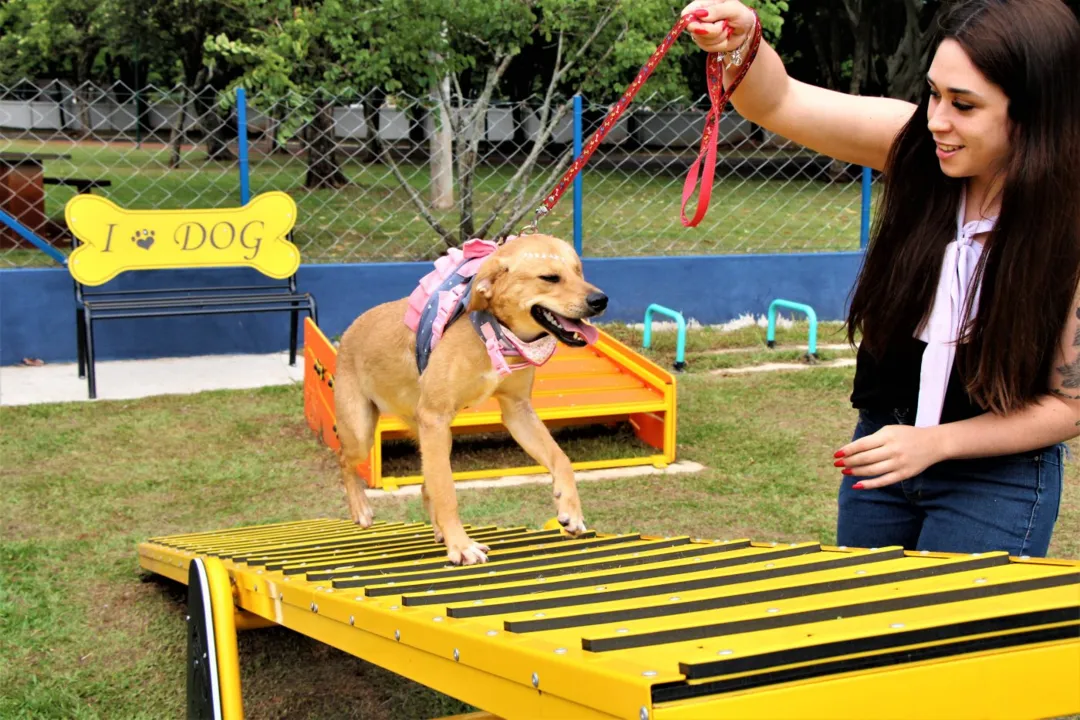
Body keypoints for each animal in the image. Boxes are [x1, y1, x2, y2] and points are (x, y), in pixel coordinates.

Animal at [332, 234, 609, 565]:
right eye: (550, 278)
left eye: (579, 272)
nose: (601, 300)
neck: (493, 331)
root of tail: (351, 329)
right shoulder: (435, 416)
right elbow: (448, 492)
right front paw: (462, 546)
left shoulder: (517, 410)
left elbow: (561, 459)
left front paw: (570, 509)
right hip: (365, 433)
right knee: (345, 460)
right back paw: (361, 508)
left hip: (433, 435)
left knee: (426, 485)